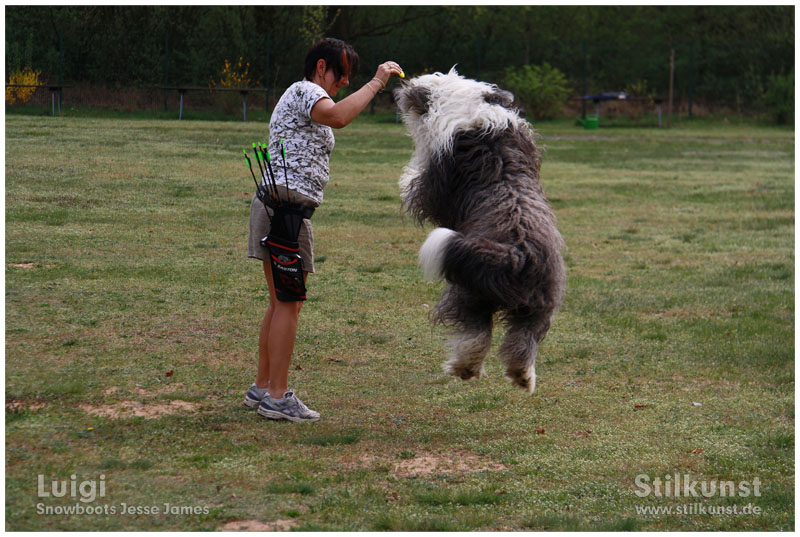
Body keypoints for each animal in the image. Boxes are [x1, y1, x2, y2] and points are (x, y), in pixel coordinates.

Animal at [394, 68, 564, 394]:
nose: (405, 86)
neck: (473, 114)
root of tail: (517, 254)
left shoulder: (432, 187)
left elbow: (415, 185)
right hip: (540, 301)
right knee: (524, 339)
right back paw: (523, 375)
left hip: (467, 287)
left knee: (475, 331)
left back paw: (464, 367)